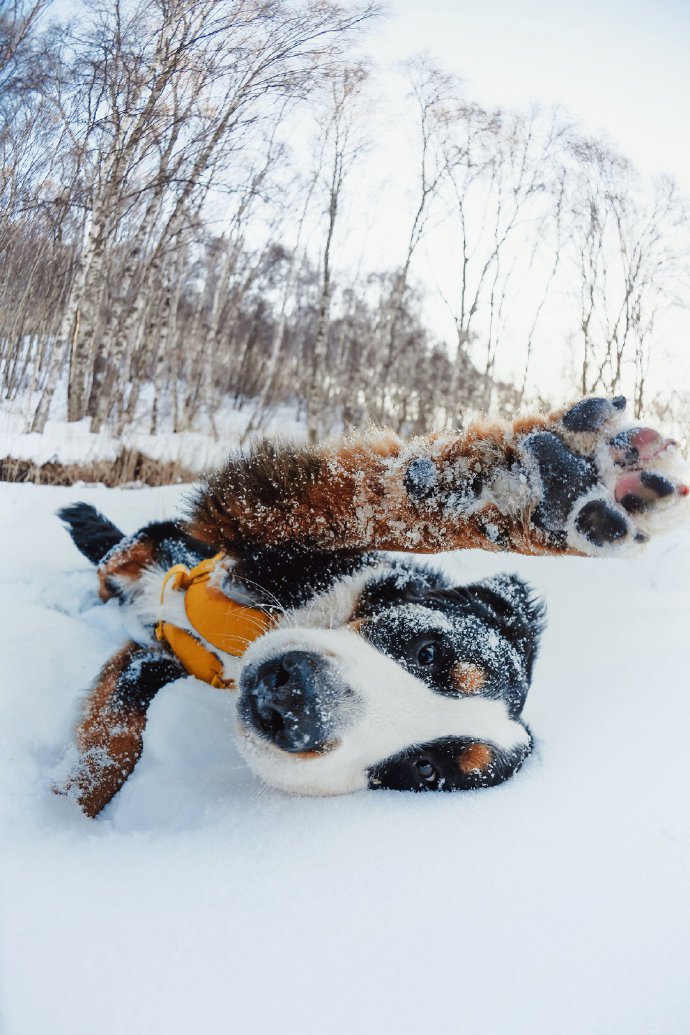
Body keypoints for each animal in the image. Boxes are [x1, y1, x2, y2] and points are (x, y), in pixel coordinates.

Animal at [57, 397, 686, 815]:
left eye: (422, 769)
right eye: (430, 650)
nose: (298, 700)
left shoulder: (160, 660)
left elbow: (115, 731)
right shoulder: (251, 527)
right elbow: (351, 504)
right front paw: (541, 485)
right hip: (156, 544)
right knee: (118, 557)